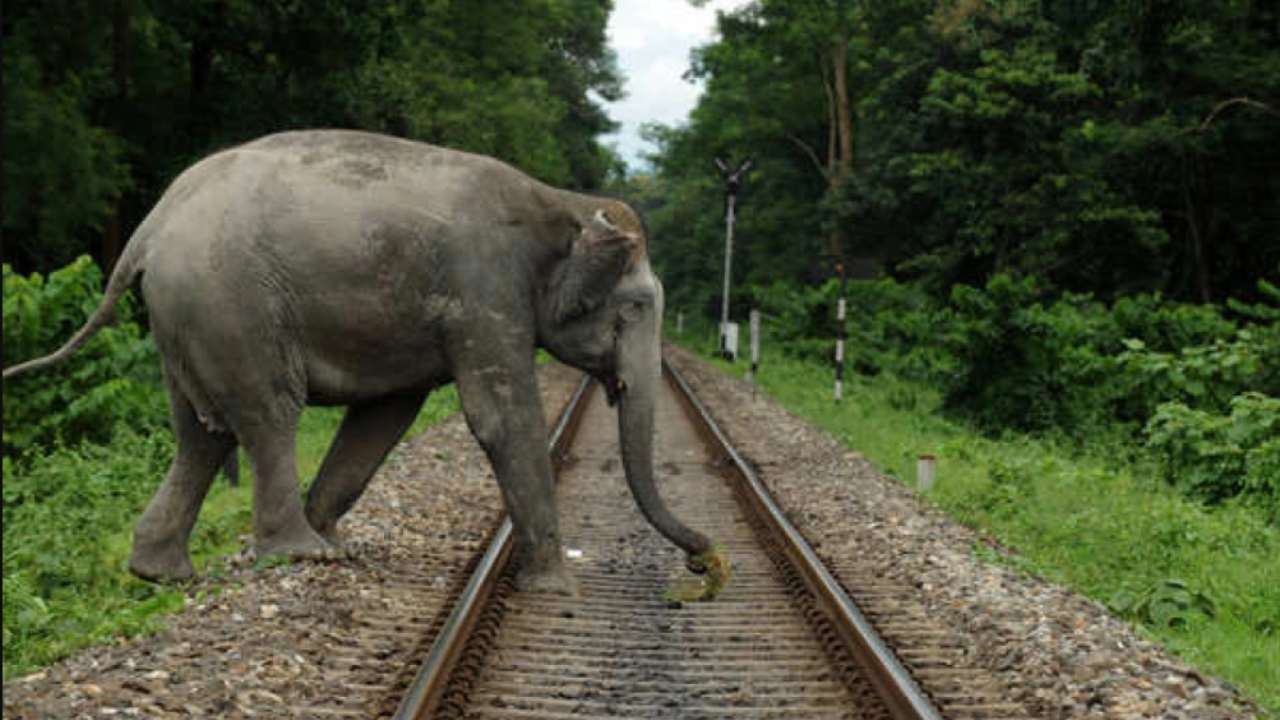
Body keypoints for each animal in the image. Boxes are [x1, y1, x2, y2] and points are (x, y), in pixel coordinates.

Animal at [2, 129, 715, 595]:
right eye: (633, 308)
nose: (704, 561)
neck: (560, 202)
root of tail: (146, 231)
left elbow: (386, 414)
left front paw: (338, 537)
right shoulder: (484, 289)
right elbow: (499, 417)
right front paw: (558, 586)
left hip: (184, 316)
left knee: (201, 435)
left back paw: (165, 572)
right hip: (230, 303)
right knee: (267, 414)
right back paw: (299, 556)